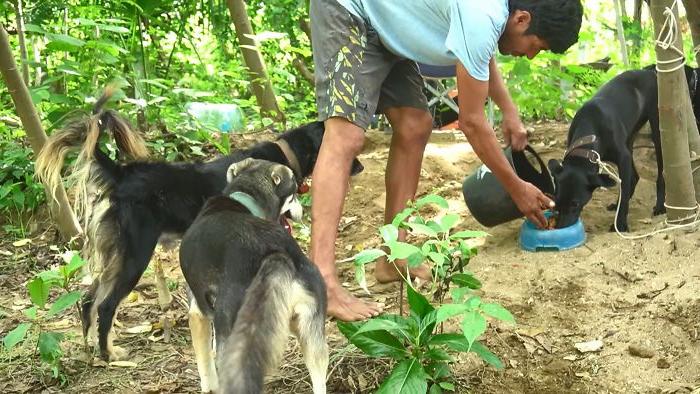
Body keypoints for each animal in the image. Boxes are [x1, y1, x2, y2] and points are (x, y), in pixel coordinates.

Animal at [34, 91, 360, 362]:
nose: (360, 166)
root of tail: (121, 173)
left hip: (116, 254)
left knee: (89, 300)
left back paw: (90, 351)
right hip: (135, 256)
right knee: (105, 305)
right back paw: (108, 354)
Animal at [548, 64, 696, 231]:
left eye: (575, 204)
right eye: (556, 201)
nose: (560, 227)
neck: (589, 134)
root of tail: (647, 72)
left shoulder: (622, 157)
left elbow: (624, 190)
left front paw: (620, 224)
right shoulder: (623, 155)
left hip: (657, 131)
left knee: (657, 175)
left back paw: (659, 207)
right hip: (629, 138)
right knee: (634, 177)